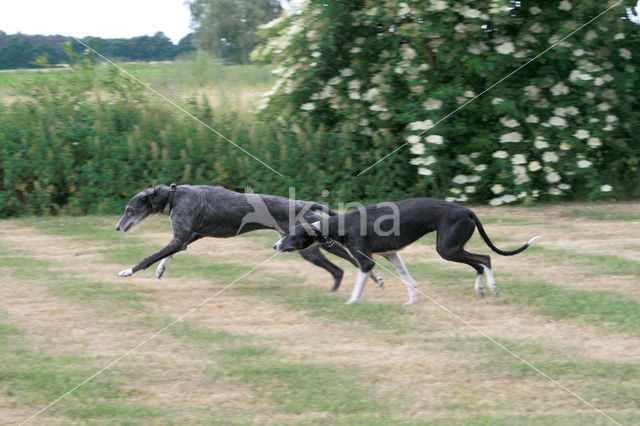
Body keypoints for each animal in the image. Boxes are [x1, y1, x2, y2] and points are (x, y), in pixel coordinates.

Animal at [112, 183, 382, 290]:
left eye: (128, 209)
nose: (117, 228)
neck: (174, 196)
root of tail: (304, 204)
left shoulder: (180, 236)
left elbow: (150, 256)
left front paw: (127, 271)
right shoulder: (190, 236)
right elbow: (167, 255)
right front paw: (161, 270)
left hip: (308, 249)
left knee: (338, 269)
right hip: (322, 243)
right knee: (352, 259)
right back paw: (375, 279)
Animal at [272, 198, 536, 304]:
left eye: (291, 236)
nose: (275, 246)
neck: (339, 224)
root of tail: (466, 210)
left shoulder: (366, 262)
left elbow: (360, 284)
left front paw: (351, 302)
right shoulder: (391, 254)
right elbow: (409, 280)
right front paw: (412, 301)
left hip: (447, 248)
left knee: (485, 258)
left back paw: (492, 287)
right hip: (452, 248)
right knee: (480, 263)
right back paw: (481, 289)